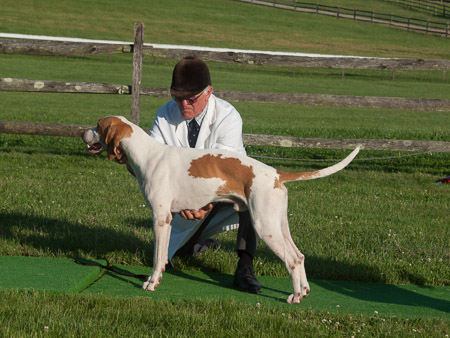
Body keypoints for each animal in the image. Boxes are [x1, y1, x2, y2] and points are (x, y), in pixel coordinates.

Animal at [82, 116, 360, 304]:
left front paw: (151, 283)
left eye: (97, 125)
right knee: (299, 256)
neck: (148, 154)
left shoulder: (159, 219)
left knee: (291, 260)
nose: (82, 132)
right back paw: (302, 291)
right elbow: (162, 258)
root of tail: (276, 173)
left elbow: (156, 258)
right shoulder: (168, 221)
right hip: (278, 224)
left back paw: (293, 296)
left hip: (263, 225)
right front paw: (157, 279)